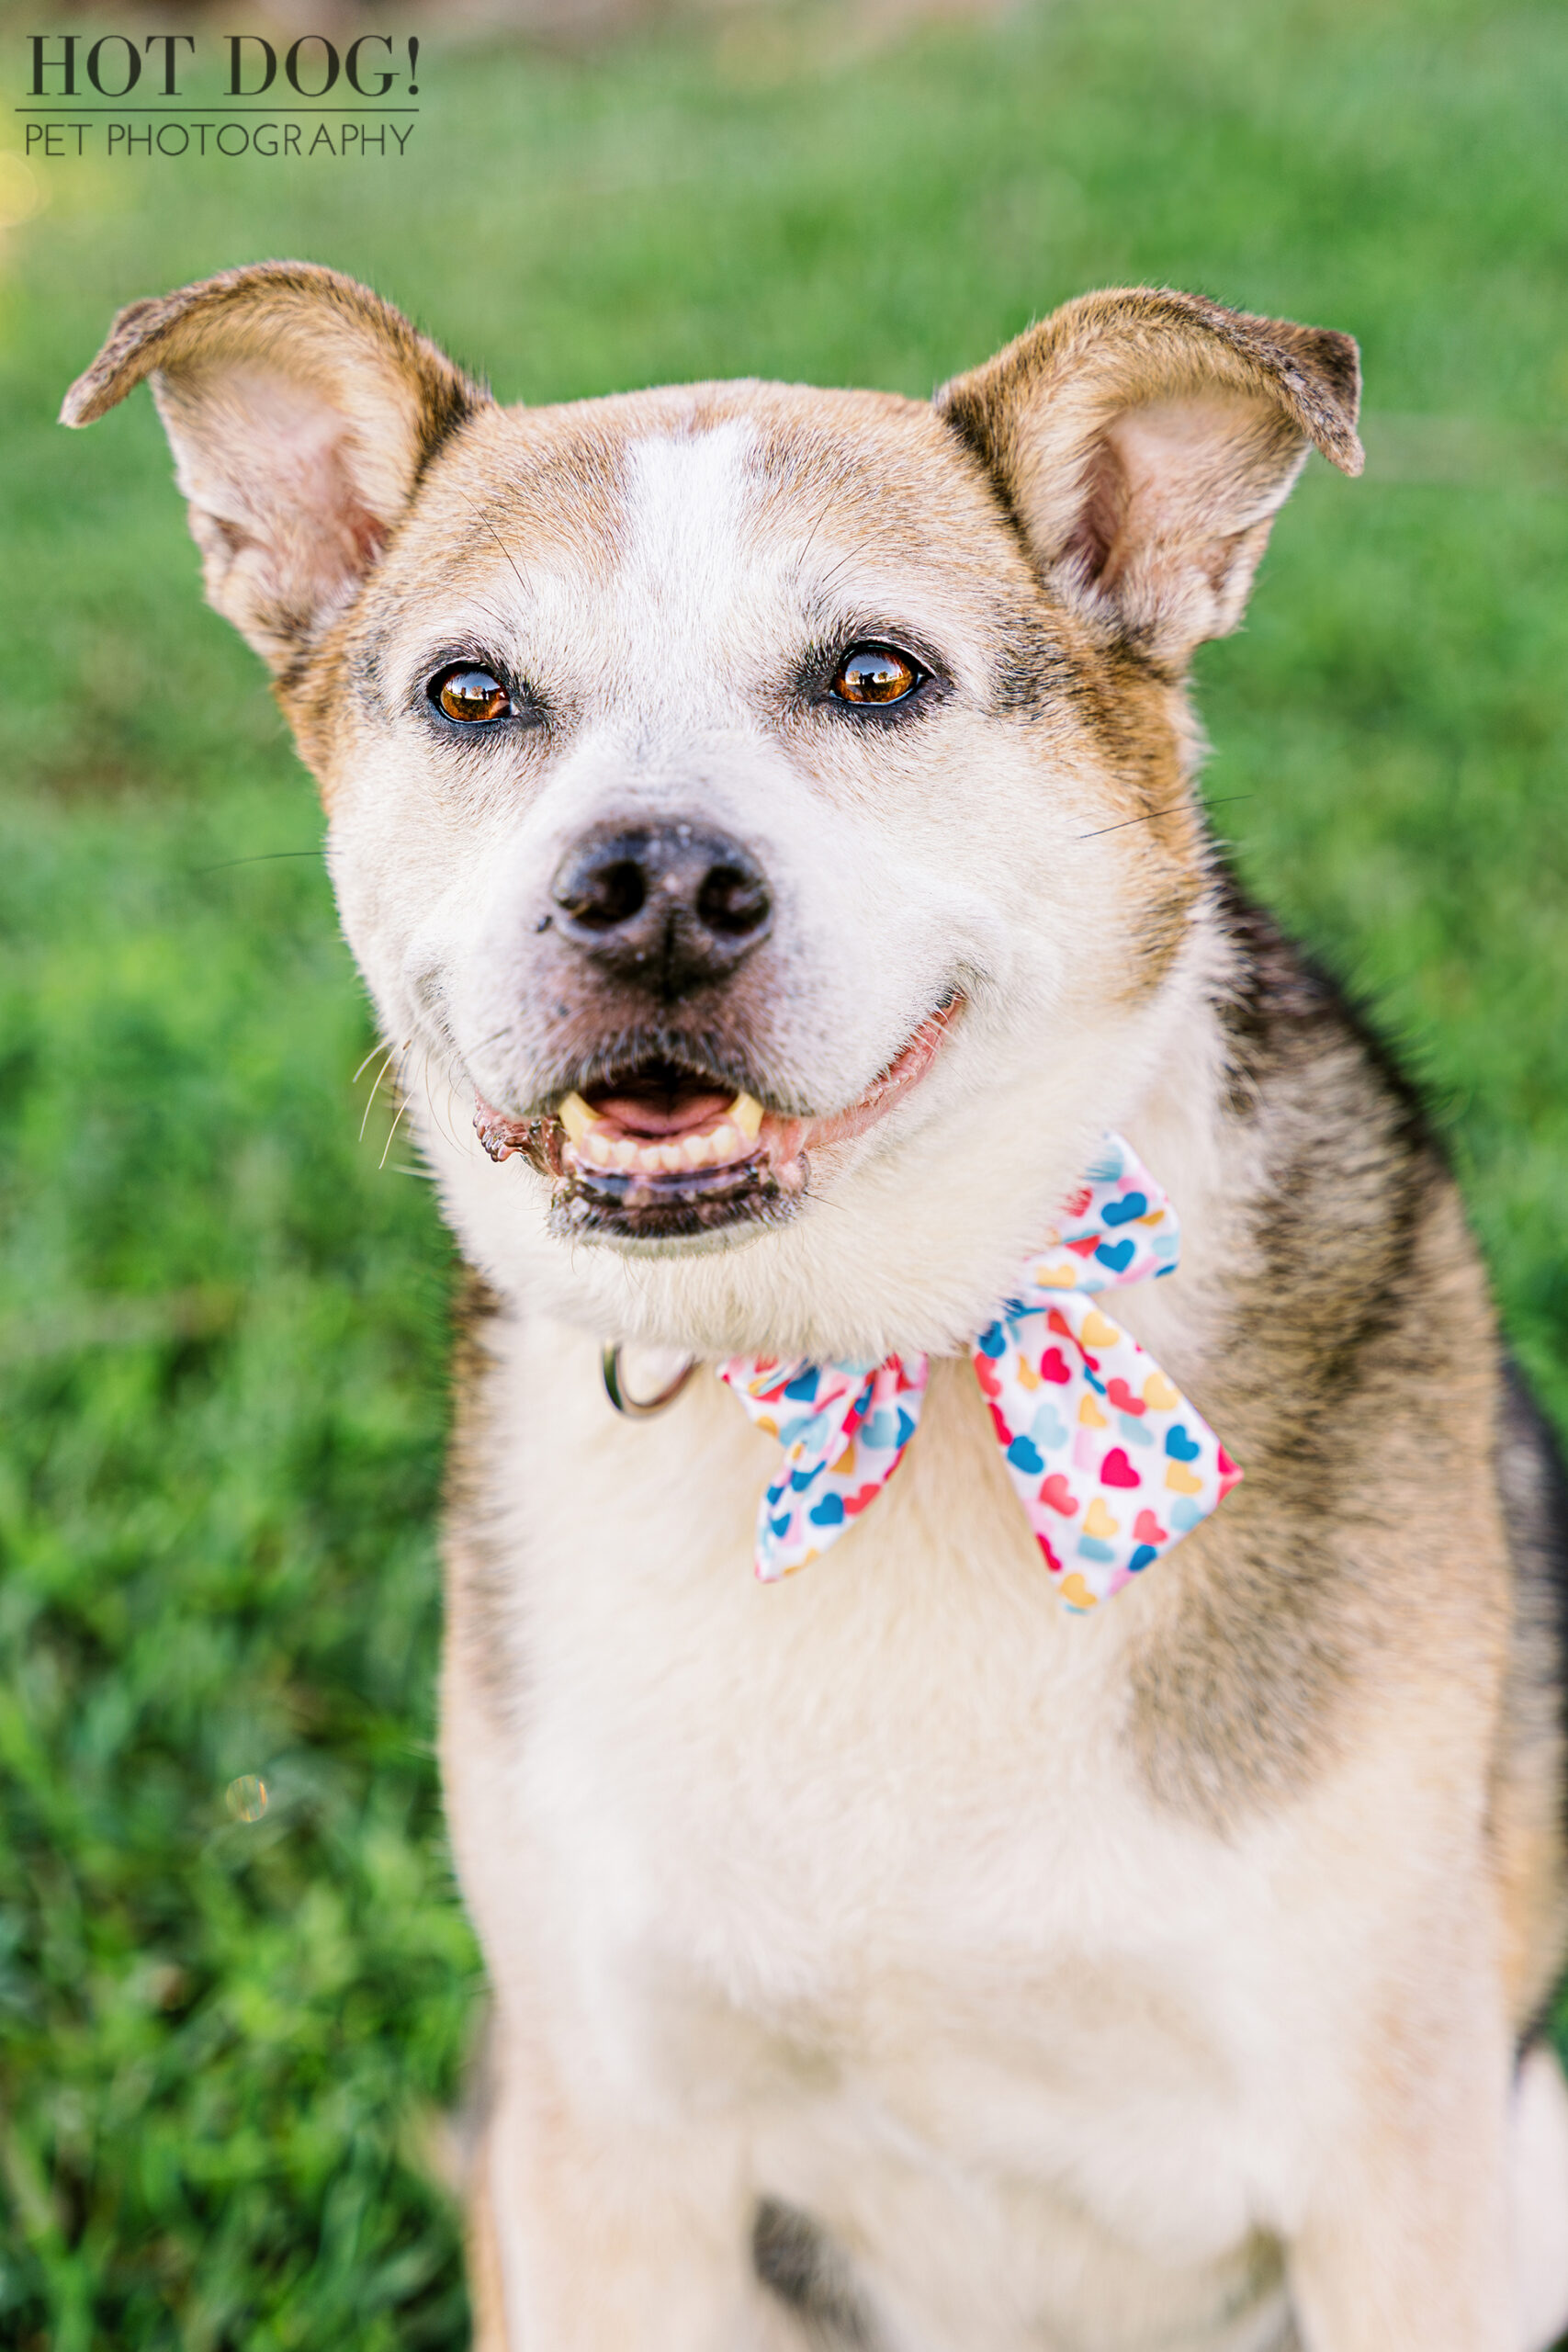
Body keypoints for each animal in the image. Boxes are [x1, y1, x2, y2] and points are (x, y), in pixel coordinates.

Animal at [67, 270, 1568, 2352]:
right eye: (473, 694)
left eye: (873, 676)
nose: (651, 888)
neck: (853, 1371)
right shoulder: (606, 2144)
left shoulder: (1398, 2150)